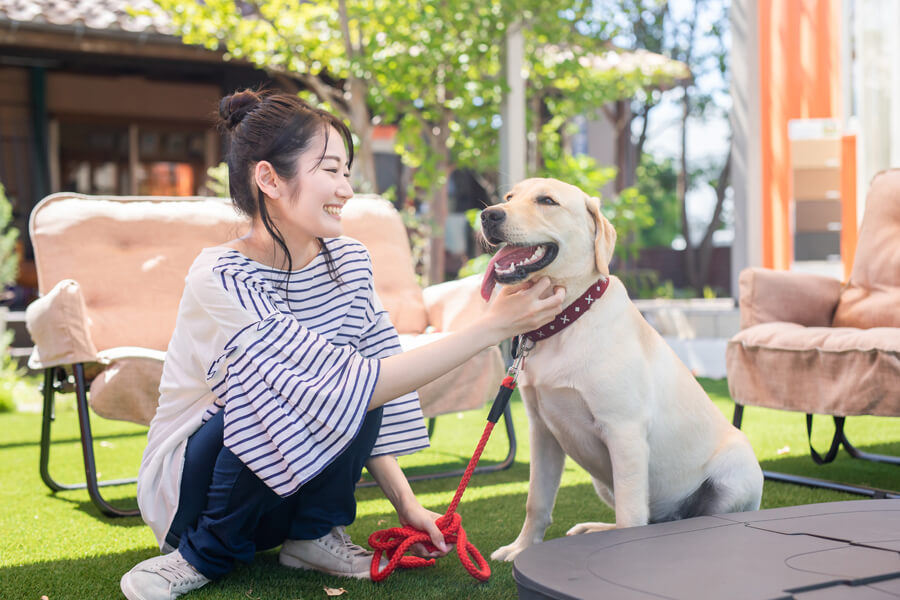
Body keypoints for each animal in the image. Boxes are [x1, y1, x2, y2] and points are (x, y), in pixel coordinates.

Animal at [482, 178, 764, 564]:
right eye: (509, 197)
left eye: (547, 201)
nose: (488, 215)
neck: (566, 320)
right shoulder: (542, 433)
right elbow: (536, 502)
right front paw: (522, 548)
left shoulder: (624, 432)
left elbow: (631, 515)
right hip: (603, 482)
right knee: (645, 520)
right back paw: (594, 529)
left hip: (735, 473)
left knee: (680, 520)